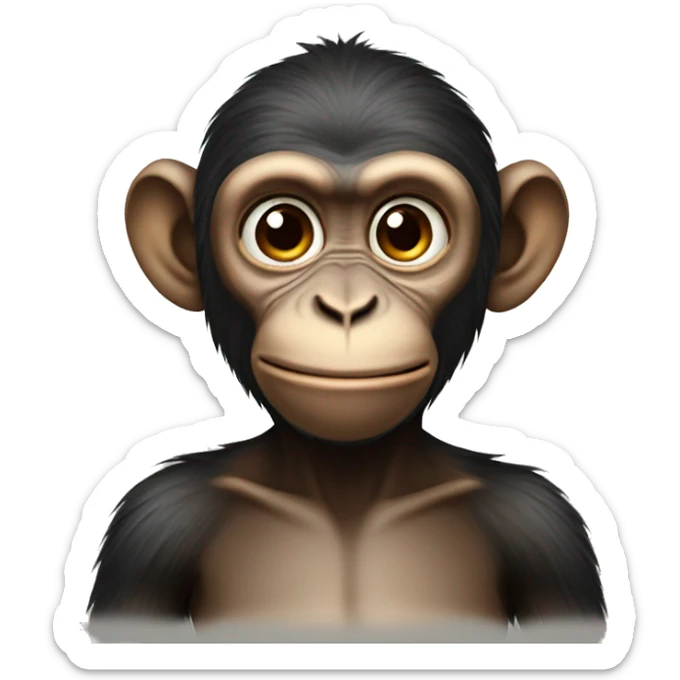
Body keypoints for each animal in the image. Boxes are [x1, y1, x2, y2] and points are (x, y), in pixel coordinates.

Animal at [88, 36, 605, 640]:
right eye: (281, 230)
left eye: (404, 231)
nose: (346, 307)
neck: (347, 492)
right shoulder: (151, 524)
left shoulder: (544, 526)